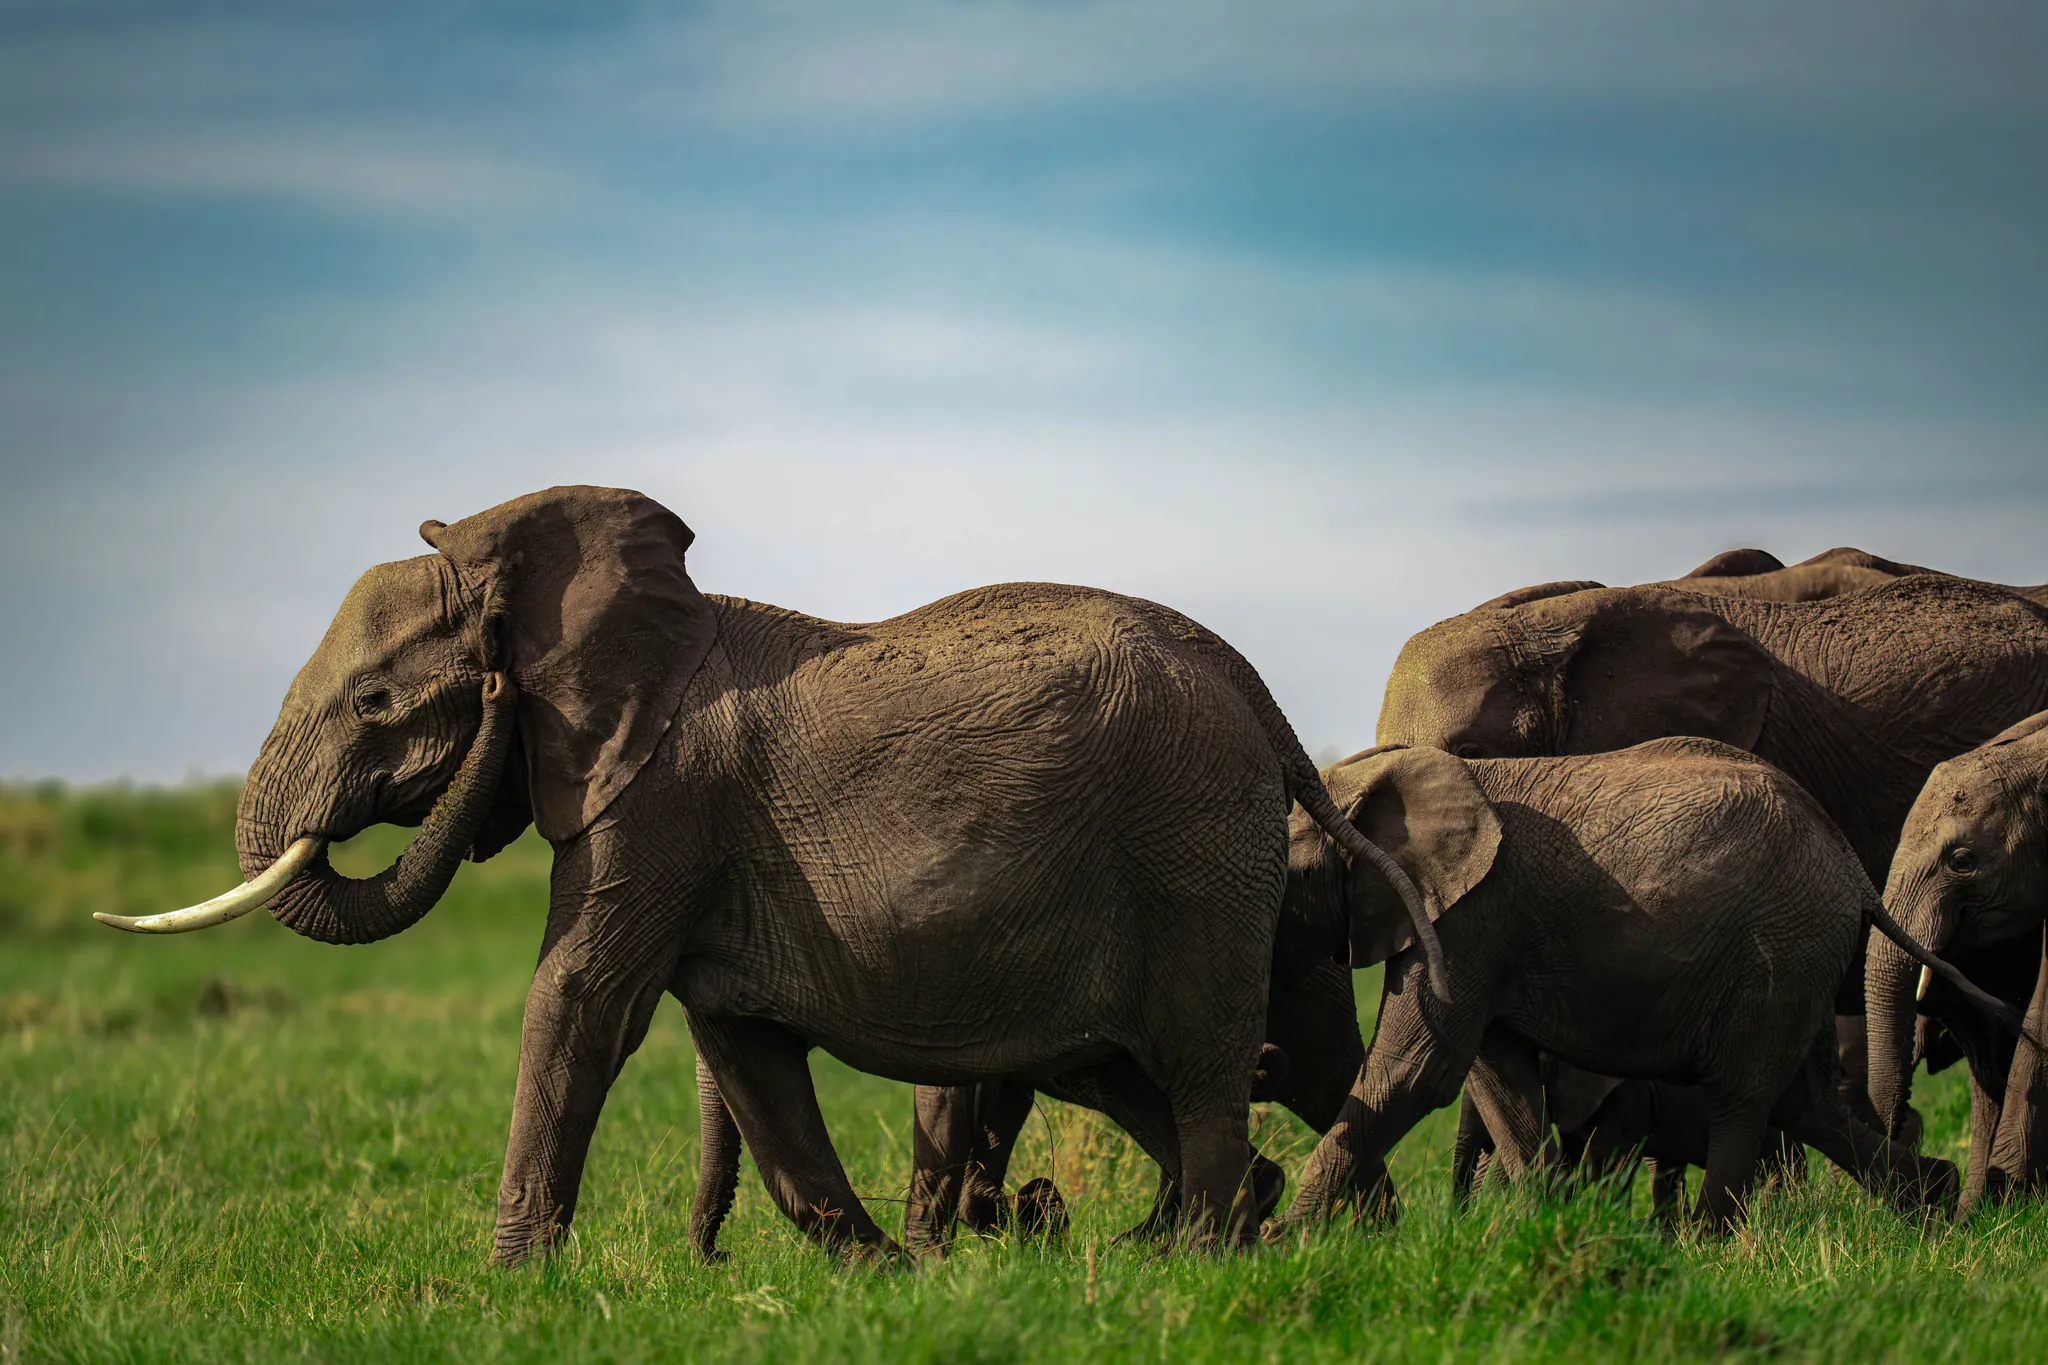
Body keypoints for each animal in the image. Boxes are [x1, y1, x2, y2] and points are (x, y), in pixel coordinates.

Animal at [96, 485, 1445, 1262]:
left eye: (376, 701)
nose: (704, 1261)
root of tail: (1255, 692)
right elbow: (741, 1048)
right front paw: (883, 1280)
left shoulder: (657, 795)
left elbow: (580, 1000)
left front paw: (507, 1289)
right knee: (1132, 1073)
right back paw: (1205, 1238)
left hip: (1192, 847)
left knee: (1205, 1065)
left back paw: (1194, 1264)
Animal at [1273, 739, 1990, 1230]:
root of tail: (1855, 871)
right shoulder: (1479, 931)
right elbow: (1500, 1078)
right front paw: (1539, 1220)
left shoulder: (1468, 920)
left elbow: (1417, 1070)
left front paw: (1286, 1243)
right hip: (1802, 956)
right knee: (1805, 1102)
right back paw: (1937, 1205)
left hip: (1780, 948)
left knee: (1742, 1095)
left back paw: (1706, 1247)